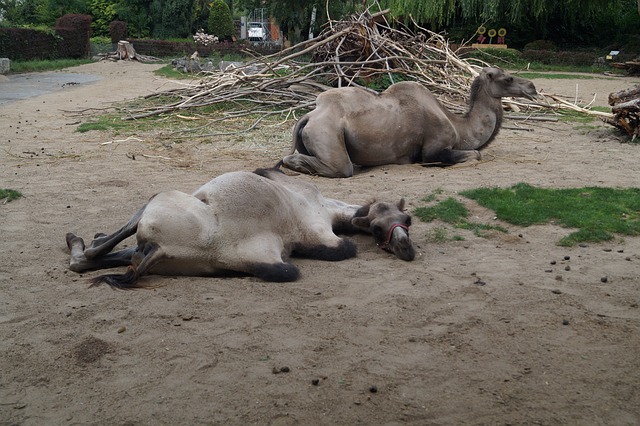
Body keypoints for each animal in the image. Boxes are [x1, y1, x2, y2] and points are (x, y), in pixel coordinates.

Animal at [65, 167, 416, 290]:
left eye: (407, 222)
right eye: (379, 227)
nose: (406, 248)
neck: (327, 210)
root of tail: (161, 250)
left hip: (158, 213)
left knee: (99, 255)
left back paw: (79, 243)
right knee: (108, 250)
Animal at [282, 66, 536, 178]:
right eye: (508, 78)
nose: (532, 86)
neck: (458, 126)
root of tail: (309, 116)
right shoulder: (434, 147)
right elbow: (475, 154)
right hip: (326, 132)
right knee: (340, 167)